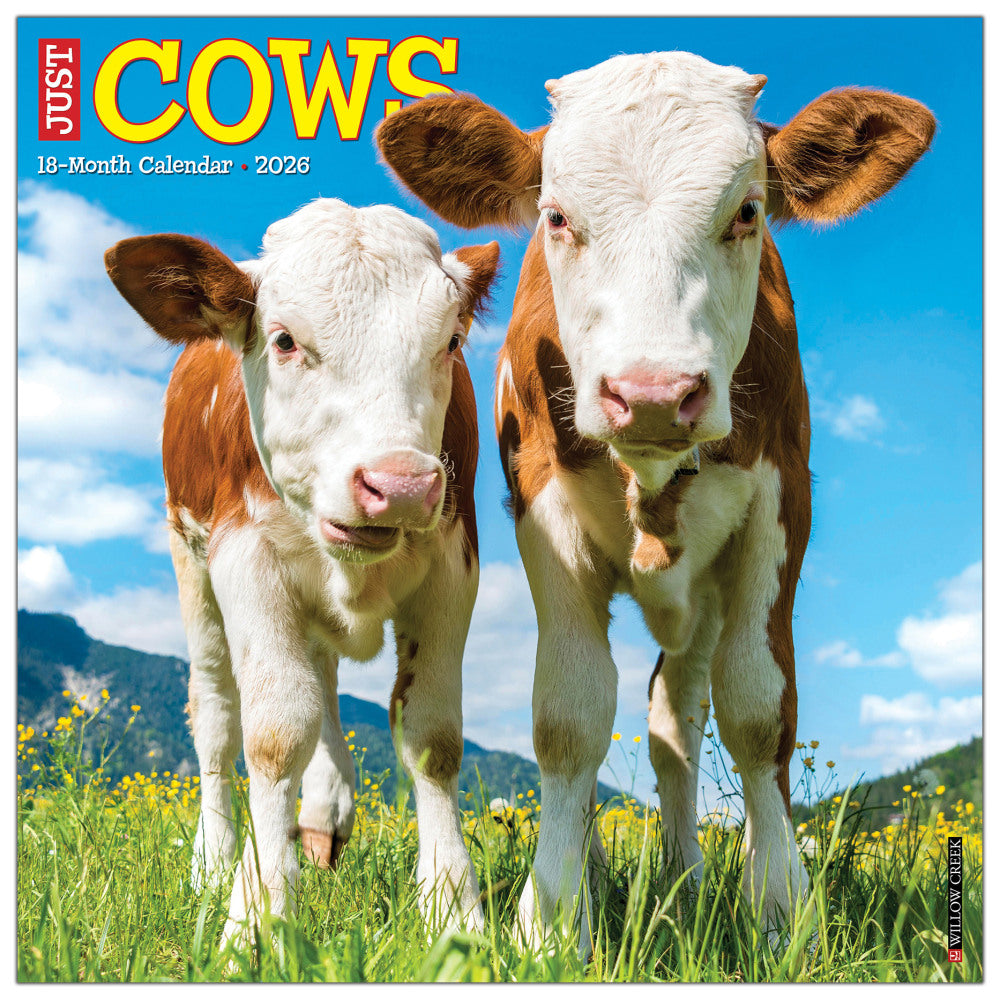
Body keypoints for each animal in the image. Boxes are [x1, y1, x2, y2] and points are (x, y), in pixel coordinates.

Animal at [105, 198, 499, 947]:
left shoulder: (453, 563)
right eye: (285, 340)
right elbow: (275, 733)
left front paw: (451, 905)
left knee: (322, 680)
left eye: (451, 342)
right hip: (189, 563)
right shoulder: (244, 557)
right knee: (218, 712)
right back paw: (215, 860)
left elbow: (432, 736)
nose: (399, 485)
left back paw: (320, 812)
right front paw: (257, 912)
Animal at [376, 52, 935, 948]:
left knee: (677, 720)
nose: (651, 394)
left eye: (747, 211)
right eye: (557, 217)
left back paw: (683, 877)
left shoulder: (782, 507)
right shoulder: (543, 508)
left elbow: (756, 710)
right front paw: (555, 914)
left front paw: (780, 909)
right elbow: (569, 715)